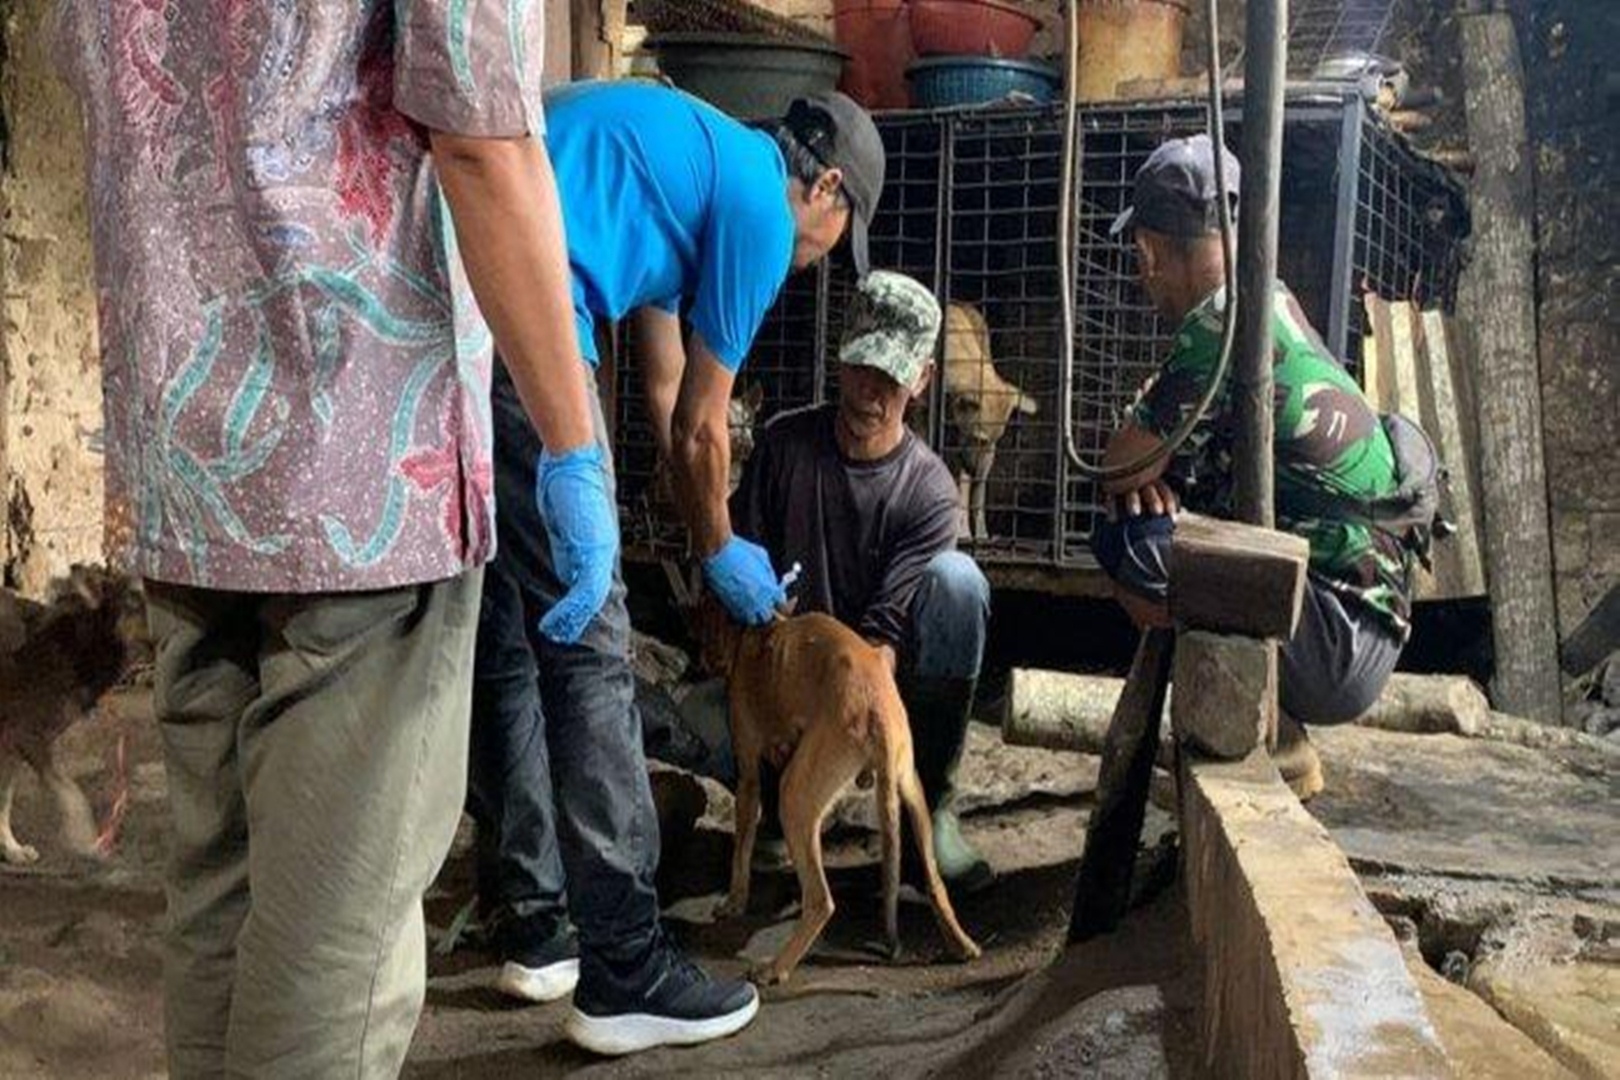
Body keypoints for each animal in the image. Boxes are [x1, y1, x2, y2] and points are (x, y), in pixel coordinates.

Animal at [0, 569, 147, 867]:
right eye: (133, 599)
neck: (80, 649)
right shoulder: (28, 738)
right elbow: (73, 795)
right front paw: (85, 842)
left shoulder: (11, 744)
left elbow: (4, 798)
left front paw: (11, 849)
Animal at [677, 582, 978, 990]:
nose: (693, 663)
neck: (751, 631)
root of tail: (874, 706)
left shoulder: (749, 774)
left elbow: (741, 848)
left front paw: (734, 902)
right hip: (909, 789)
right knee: (935, 882)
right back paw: (961, 943)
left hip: (795, 795)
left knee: (820, 900)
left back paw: (776, 967)